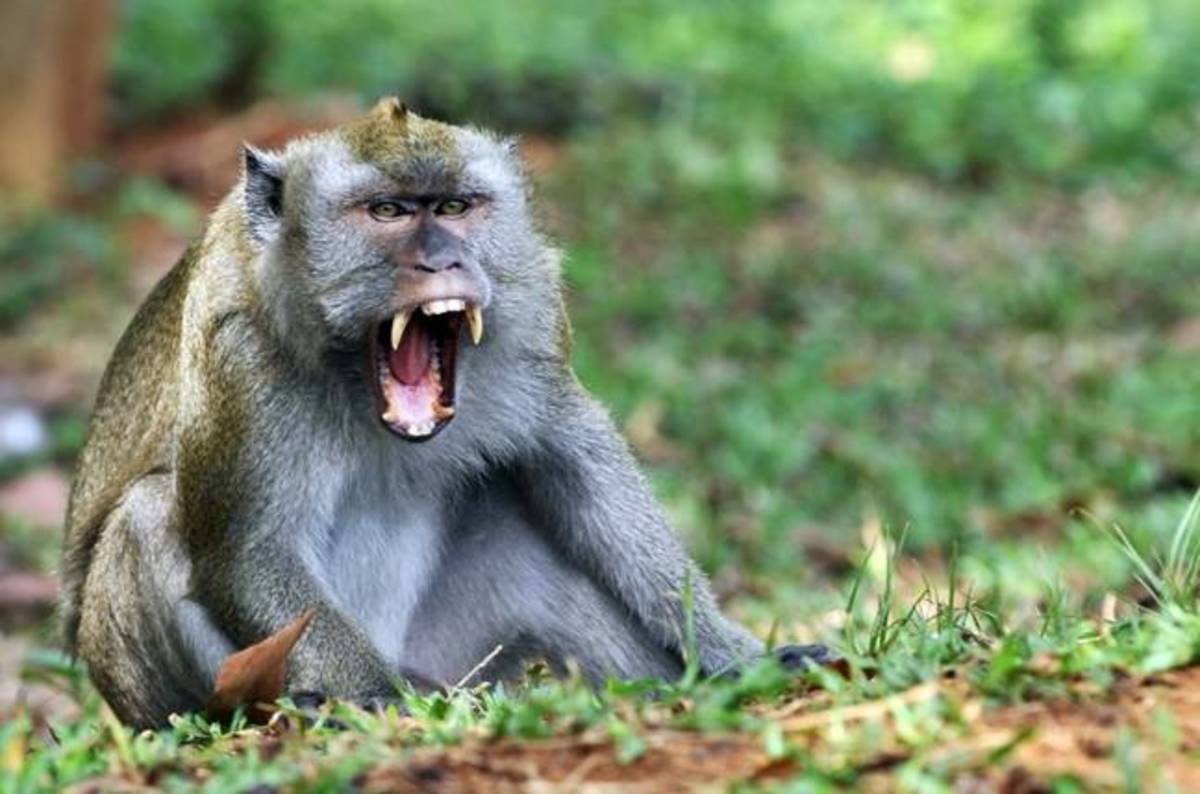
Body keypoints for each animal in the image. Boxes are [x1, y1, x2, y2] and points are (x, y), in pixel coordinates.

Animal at [60, 99, 828, 729]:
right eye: (389, 213)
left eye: (456, 207)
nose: (442, 261)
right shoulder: (239, 355)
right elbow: (247, 548)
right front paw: (374, 699)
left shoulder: (536, 313)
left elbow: (577, 467)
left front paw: (733, 652)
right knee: (146, 515)